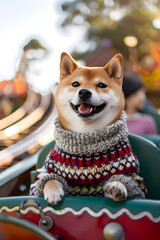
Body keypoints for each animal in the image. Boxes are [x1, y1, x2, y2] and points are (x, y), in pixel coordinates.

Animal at [30, 52, 146, 204]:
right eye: (75, 84)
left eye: (101, 85)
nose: (84, 92)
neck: (86, 136)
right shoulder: (43, 174)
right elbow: (47, 179)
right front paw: (53, 190)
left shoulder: (135, 180)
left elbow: (127, 182)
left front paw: (117, 185)